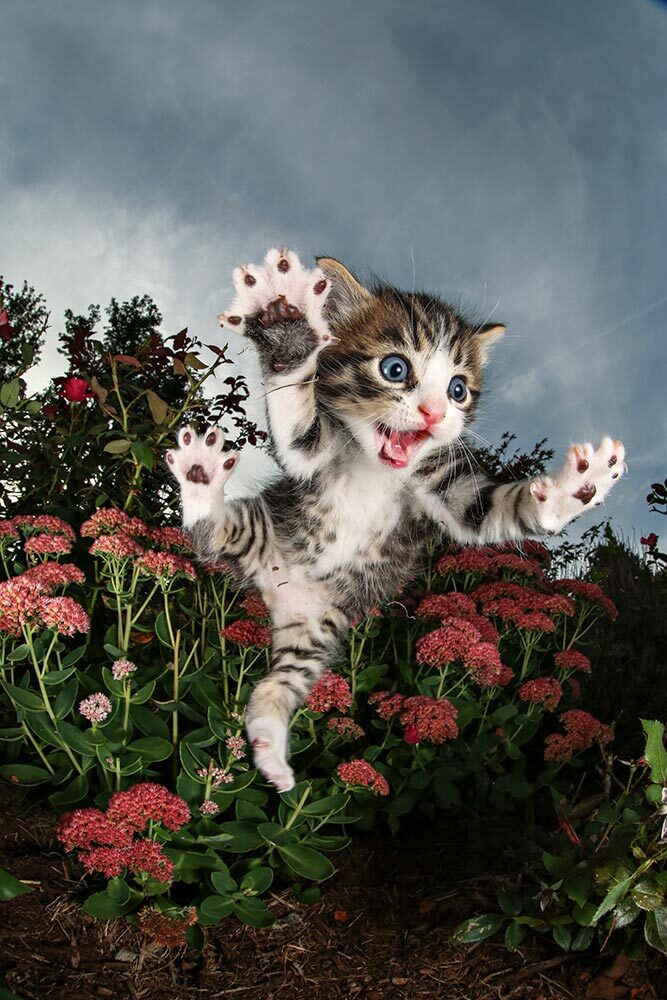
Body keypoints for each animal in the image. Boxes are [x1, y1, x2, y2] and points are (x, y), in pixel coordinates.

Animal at [167, 248, 628, 788]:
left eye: (457, 390)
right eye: (394, 368)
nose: (433, 414)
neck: (380, 469)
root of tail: (279, 594)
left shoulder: (448, 492)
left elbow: (491, 512)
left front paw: (577, 488)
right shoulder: (313, 455)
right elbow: (296, 425)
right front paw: (290, 330)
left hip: (319, 628)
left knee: (280, 683)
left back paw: (270, 745)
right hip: (260, 531)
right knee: (209, 530)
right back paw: (200, 479)